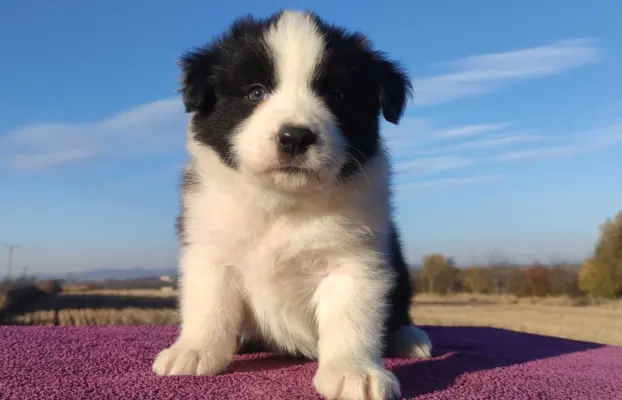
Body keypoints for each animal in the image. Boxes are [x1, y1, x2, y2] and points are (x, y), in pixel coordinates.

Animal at [153, 9, 432, 400]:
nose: (295, 137)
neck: (282, 202)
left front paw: (354, 371)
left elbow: (351, 317)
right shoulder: (211, 249)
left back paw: (408, 338)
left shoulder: (357, 259)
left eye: (336, 95)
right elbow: (209, 305)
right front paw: (194, 350)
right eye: (255, 92)